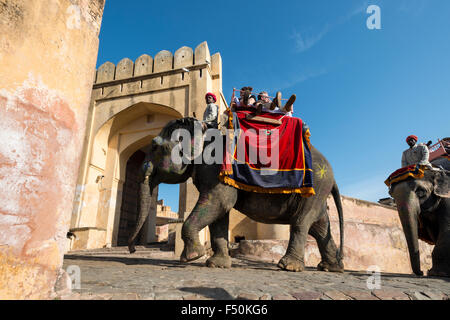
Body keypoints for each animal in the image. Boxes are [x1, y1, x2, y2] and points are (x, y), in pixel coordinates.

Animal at [126, 117, 344, 272]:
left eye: (155, 146)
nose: (132, 250)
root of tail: (333, 176)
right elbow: (220, 214)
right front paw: (216, 264)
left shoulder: (217, 170)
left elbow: (219, 203)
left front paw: (192, 257)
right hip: (318, 192)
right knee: (320, 226)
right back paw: (331, 268)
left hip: (314, 187)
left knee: (301, 222)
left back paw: (288, 266)